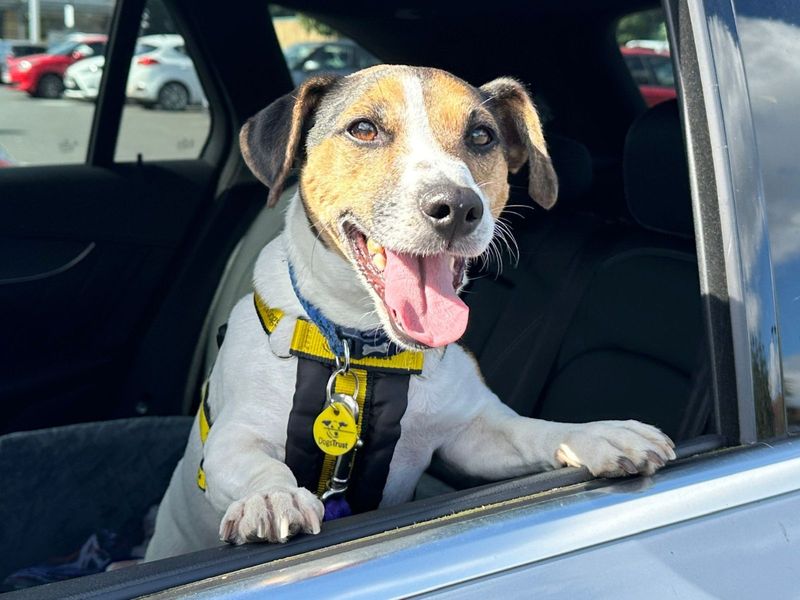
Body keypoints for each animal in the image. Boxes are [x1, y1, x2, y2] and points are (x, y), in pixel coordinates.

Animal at [145, 67, 676, 564]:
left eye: (481, 136)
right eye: (363, 129)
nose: (457, 206)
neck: (363, 353)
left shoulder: (473, 435)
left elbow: (535, 432)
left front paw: (599, 435)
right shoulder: (233, 439)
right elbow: (256, 464)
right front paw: (273, 496)